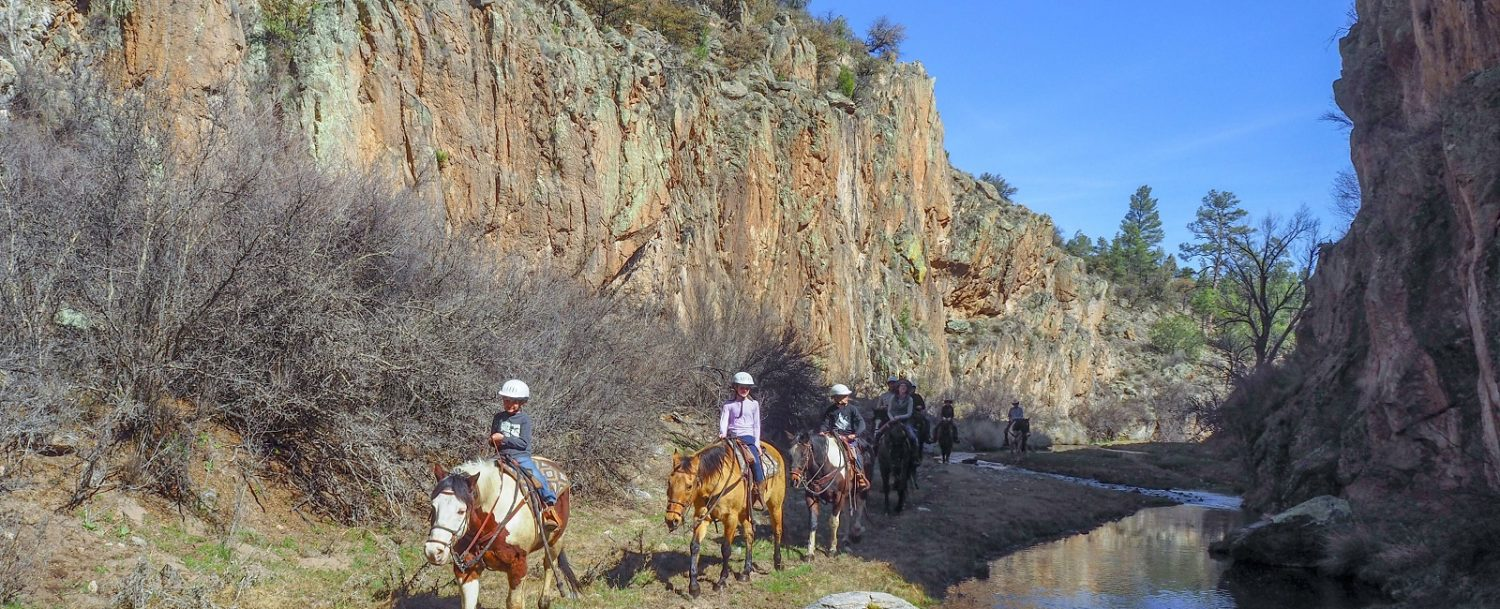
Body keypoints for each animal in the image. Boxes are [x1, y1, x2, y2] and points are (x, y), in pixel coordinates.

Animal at [429, 459, 585, 606]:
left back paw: (544, 601)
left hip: (555, 540)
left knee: (548, 565)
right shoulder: (467, 570)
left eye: (461, 511)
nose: (434, 552)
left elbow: (514, 603)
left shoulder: (518, 566)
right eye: (433, 506)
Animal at [666, 441, 792, 597]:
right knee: (749, 535)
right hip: (745, 512)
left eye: (689, 486)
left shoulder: (731, 518)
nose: (671, 519)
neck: (717, 482)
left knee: (777, 531)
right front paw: (694, 587)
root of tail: (775, 451)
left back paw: (778, 563)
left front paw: (721, 581)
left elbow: (726, 548)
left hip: (775, 505)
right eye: (669, 482)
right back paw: (746, 572)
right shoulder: (702, 516)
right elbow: (694, 546)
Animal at [786, 429, 870, 558]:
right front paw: (810, 552)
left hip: (861, 491)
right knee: (846, 514)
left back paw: (856, 533)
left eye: (804, 454)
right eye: (790, 455)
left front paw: (832, 549)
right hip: (847, 495)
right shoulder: (811, 497)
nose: (794, 480)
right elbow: (813, 522)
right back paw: (846, 538)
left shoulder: (839, 496)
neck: (826, 466)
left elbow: (834, 522)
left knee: (860, 506)